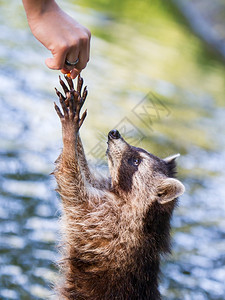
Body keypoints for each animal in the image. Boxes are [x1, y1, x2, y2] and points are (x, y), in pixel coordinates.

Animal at [53, 76, 185, 298]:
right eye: (138, 151)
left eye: (135, 161)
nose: (114, 133)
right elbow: (86, 177)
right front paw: (76, 136)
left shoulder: (106, 223)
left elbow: (71, 184)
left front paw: (70, 133)